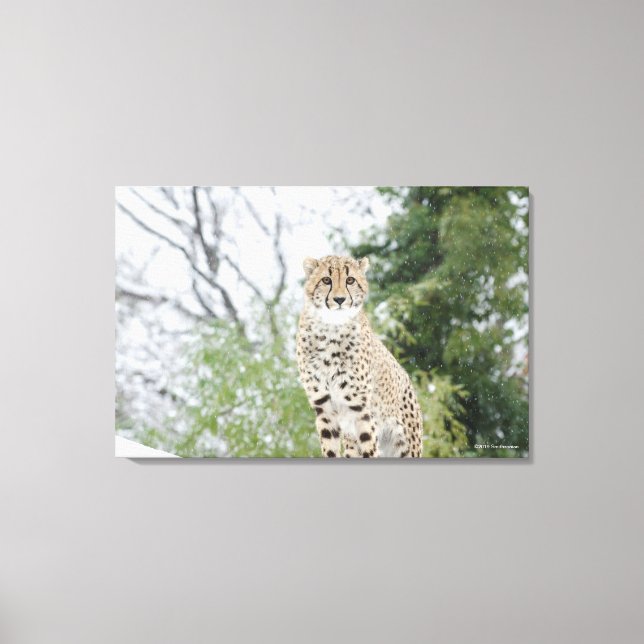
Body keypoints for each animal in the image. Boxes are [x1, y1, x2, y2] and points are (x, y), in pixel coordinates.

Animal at [296, 255, 423, 458]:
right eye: (326, 280)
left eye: (350, 280)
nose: (340, 299)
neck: (330, 328)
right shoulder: (324, 407)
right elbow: (330, 449)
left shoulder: (359, 409)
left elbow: (369, 447)